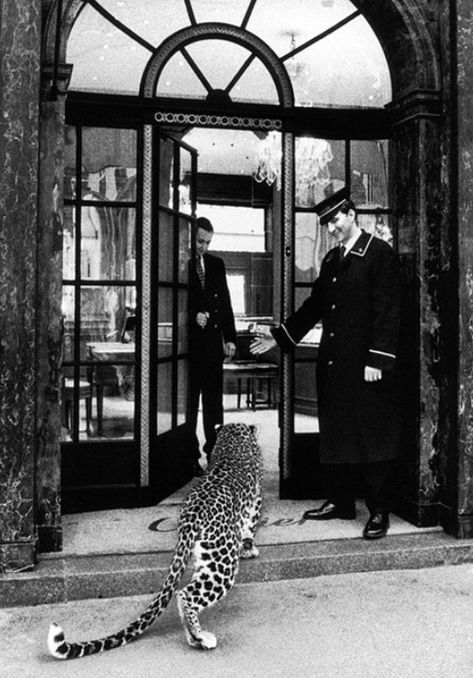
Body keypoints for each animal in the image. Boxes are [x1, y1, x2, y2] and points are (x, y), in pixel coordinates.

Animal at [48, 422, 262, 660]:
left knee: (183, 593)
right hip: (221, 561)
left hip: (206, 557)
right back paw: (200, 637)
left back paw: (194, 638)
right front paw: (250, 549)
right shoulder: (255, 501)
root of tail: (192, 514)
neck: (232, 437)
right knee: (185, 594)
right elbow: (250, 527)